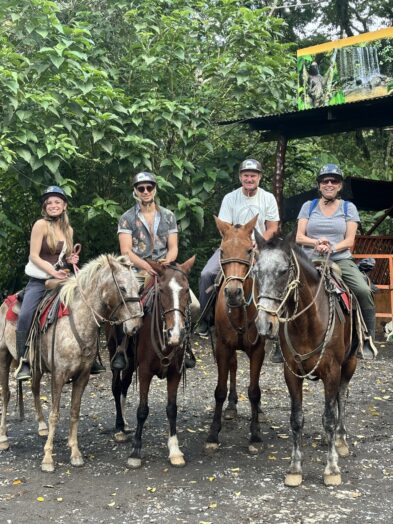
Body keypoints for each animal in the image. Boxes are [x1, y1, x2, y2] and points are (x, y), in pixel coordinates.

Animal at [0, 254, 141, 470]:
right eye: (123, 288)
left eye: (139, 288)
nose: (135, 325)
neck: (79, 320)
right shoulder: (58, 375)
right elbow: (55, 414)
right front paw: (48, 458)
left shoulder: (82, 377)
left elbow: (74, 412)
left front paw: (75, 452)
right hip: (4, 357)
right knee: (6, 394)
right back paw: (3, 438)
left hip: (36, 367)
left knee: (34, 389)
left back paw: (41, 427)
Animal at [109, 256, 195, 468]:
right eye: (162, 291)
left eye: (186, 290)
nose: (176, 334)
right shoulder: (145, 372)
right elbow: (142, 410)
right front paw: (135, 451)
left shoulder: (175, 373)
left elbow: (172, 409)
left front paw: (175, 450)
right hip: (117, 357)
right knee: (116, 387)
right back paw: (120, 428)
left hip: (131, 364)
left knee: (124, 386)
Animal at [205, 216, 266, 454]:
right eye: (222, 251)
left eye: (249, 250)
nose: (233, 293)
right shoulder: (223, 346)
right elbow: (220, 390)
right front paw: (213, 434)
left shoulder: (258, 349)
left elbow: (254, 391)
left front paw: (256, 435)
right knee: (233, 367)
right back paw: (231, 406)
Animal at [253, 233, 356, 488]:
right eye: (256, 272)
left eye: (283, 271)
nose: (264, 324)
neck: (308, 322)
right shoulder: (291, 373)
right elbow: (296, 419)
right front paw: (295, 468)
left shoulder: (332, 370)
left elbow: (329, 417)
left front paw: (331, 468)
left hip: (349, 364)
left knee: (341, 397)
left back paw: (340, 440)